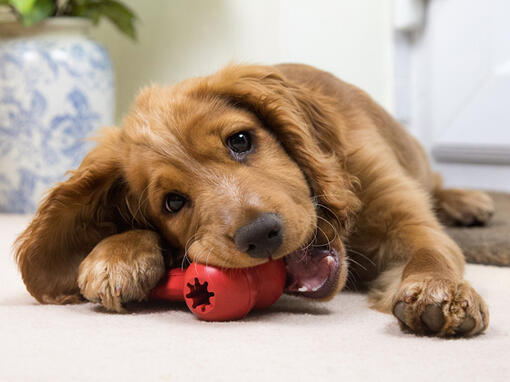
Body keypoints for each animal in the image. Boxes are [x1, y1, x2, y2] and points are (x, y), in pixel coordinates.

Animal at [14, 63, 494, 338]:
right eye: (172, 202)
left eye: (241, 140)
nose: (260, 235)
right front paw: (115, 256)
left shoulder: (405, 217)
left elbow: (431, 250)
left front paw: (442, 292)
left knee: (436, 183)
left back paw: (469, 200)